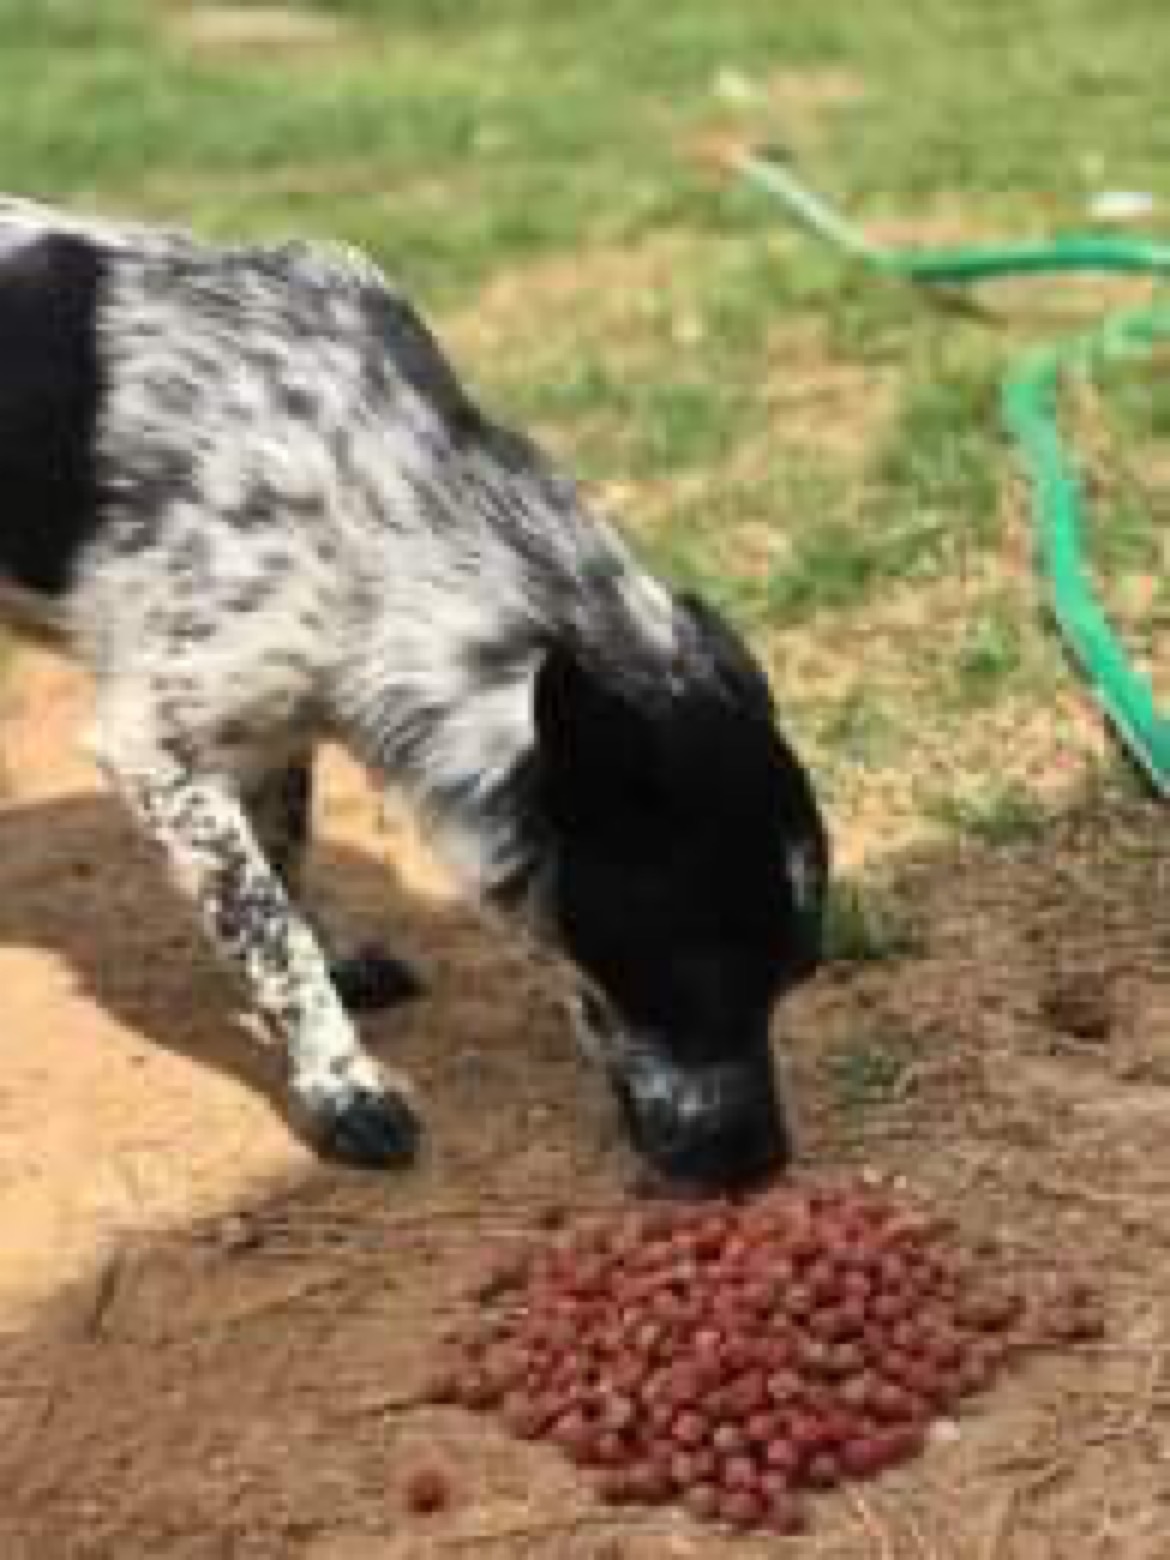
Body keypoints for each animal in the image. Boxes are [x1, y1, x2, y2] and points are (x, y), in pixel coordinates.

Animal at [0, 201, 836, 1185]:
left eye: (795, 974)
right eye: (695, 969)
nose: (763, 1162)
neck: (380, 513)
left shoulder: (278, 728)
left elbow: (283, 870)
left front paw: (336, 972)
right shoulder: (157, 749)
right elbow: (270, 932)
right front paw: (341, 1085)